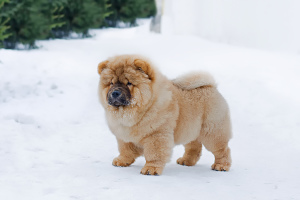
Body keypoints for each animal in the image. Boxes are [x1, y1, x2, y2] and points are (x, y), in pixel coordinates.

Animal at [98, 54, 232, 175]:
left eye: (129, 83)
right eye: (111, 83)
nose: (115, 92)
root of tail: (211, 86)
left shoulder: (156, 134)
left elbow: (154, 153)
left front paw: (151, 169)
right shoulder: (124, 135)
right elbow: (125, 149)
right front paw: (122, 161)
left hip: (212, 132)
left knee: (222, 149)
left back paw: (221, 166)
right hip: (190, 129)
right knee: (194, 146)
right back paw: (186, 161)